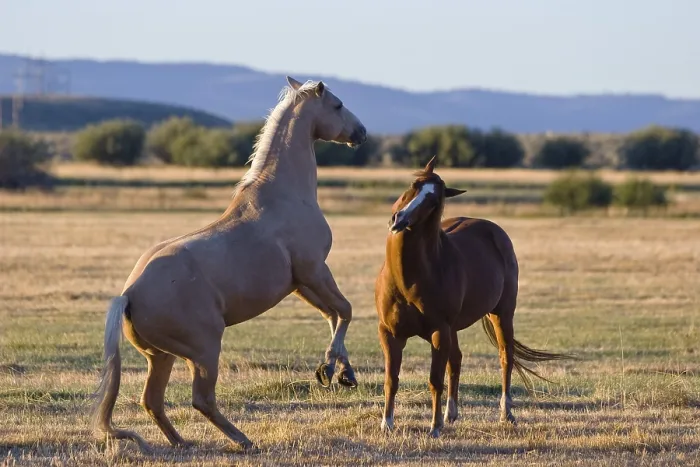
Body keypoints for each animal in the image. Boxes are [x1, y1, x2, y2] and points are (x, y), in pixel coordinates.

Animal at [91, 76, 368, 452]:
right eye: (337, 105)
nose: (361, 132)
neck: (283, 197)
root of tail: (128, 294)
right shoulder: (314, 271)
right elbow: (346, 310)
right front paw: (330, 367)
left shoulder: (300, 284)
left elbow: (333, 315)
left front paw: (341, 372)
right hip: (205, 351)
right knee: (201, 399)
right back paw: (243, 440)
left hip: (161, 357)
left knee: (152, 401)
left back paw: (183, 443)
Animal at [374, 156, 572, 438]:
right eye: (414, 185)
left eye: (434, 202)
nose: (398, 219)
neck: (409, 279)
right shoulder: (389, 333)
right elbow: (391, 379)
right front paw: (387, 423)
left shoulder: (439, 331)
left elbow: (435, 380)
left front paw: (434, 428)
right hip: (455, 328)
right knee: (456, 360)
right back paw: (451, 413)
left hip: (501, 314)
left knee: (505, 357)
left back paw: (505, 414)